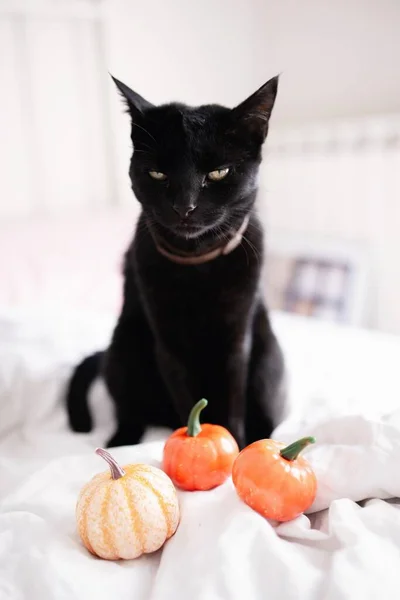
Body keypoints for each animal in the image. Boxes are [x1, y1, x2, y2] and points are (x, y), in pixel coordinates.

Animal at [65, 75, 284, 448]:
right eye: (157, 173)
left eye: (218, 173)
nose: (185, 206)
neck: (199, 265)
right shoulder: (168, 343)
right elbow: (187, 398)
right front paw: (195, 434)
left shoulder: (237, 340)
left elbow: (233, 404)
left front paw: (237, 446)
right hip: (124, 346)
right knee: (129, 412)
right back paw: (119, 442)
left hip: (269, 357)